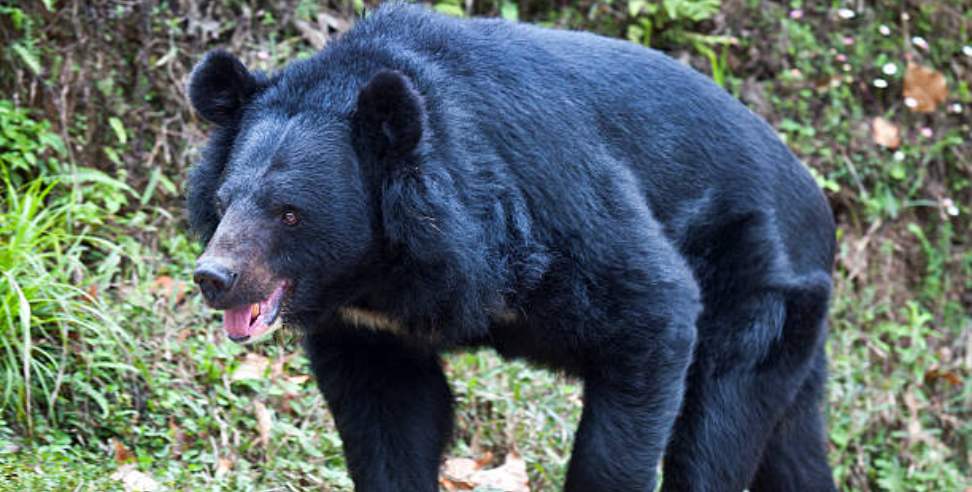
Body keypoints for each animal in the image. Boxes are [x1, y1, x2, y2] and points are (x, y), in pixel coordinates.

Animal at [186, 3, 837, 491]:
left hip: (756, 293)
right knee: (792, 442)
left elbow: (652, 309)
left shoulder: (553, 206)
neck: (379, 271)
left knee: (712, 434)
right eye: (223, 201)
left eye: (290, 213)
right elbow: (389, 420)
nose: (214, 277)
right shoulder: (369, 331)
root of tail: (820, 209)